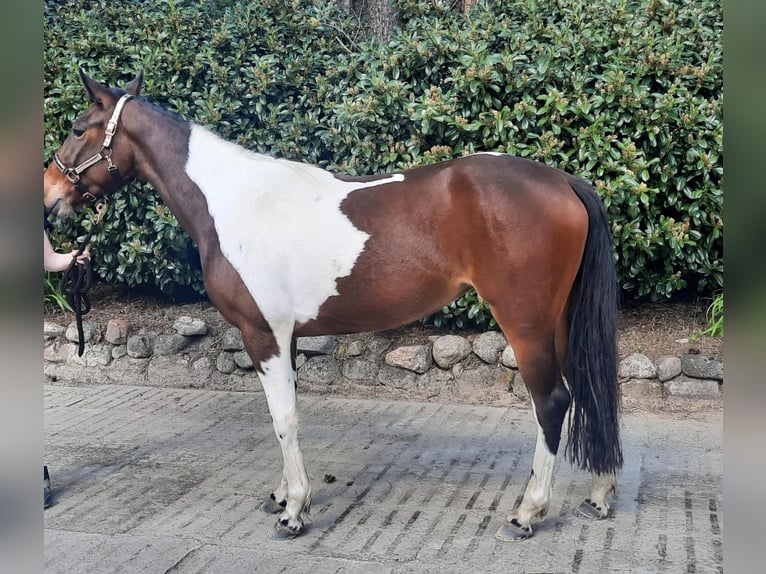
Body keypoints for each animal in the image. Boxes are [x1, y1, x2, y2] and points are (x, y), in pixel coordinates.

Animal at [43, 71, 624, 540]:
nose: (50, 196)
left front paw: (294, 512)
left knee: (552, 402)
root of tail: (563, 180)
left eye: (77, 127)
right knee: (590, 392)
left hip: (526, 325)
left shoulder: (263, 333)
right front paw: (282, 494)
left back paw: (527, 513)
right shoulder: (286, 339)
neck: (232, 202)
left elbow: (283, 418)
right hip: (559, 323)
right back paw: (599, 495)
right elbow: (285, 414)